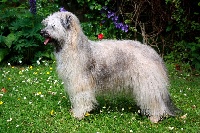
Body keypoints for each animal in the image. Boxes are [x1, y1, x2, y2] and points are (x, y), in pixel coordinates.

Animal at [40, 11, 178, 122]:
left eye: (53, 26)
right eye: (46, 24)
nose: (41, 32)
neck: (73, 46)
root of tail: (154, 54)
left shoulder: (81, 83)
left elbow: (81, 99)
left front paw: (79, 114)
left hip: (147, 83)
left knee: (155, 101)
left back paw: (155, 117)